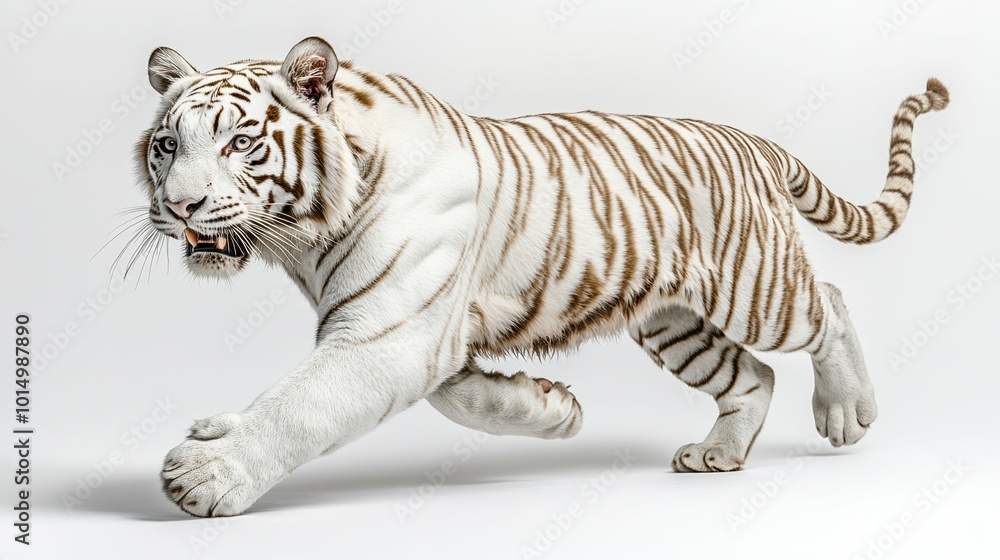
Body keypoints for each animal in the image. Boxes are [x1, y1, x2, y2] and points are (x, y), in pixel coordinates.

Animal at [134, 36, 949, 517]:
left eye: (241, 143)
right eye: (168, 145)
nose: (180, 206)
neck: (303, 237)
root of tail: (750, 140)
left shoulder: (389, 332)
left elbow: (303, 404)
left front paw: (207, 474)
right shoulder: (421, 327)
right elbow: (459, 396)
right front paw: (550, 409)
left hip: (755, 287)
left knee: (829, 304)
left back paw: (846, 412)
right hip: (672, 322)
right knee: (753, 375)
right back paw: (718, 455)